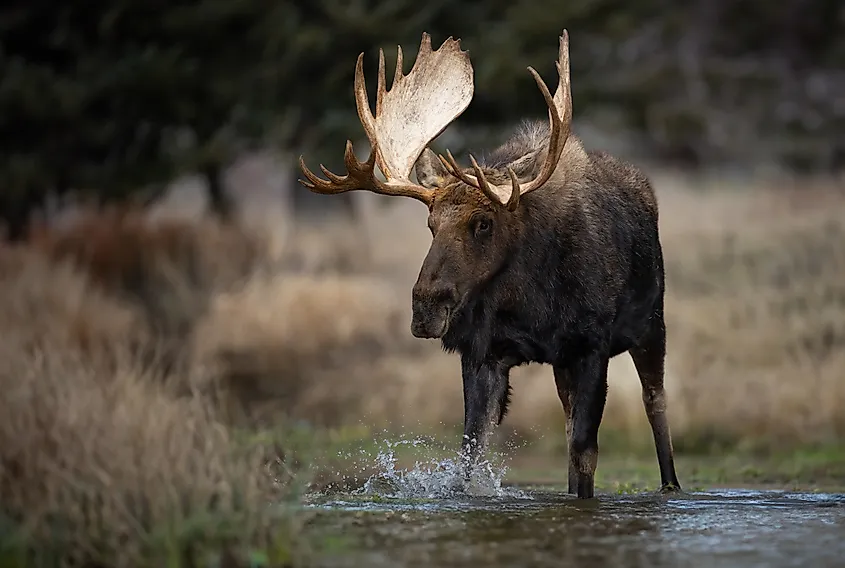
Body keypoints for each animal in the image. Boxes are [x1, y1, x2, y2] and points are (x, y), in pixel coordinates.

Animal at [298, 30, 682, 499]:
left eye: (483, 222)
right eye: (431, 223)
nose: (426, 307)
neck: (530, 302)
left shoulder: (592, 344)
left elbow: (585, 452)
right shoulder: (483, 352)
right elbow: (472, 453)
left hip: (652, 324)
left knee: (655, 402)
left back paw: (671, 485)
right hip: (566, 363)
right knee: (570, 417)